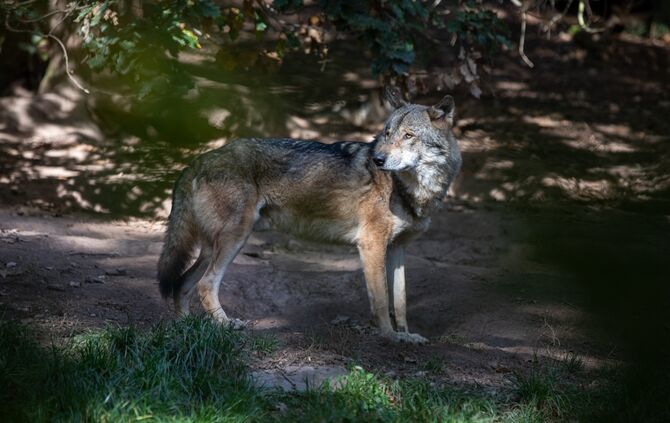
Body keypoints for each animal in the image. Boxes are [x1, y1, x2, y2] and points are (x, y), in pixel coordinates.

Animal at [157, 87, 461, 343]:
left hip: (214, 246)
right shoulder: (371, 244)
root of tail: (197, 161)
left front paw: (407, 336)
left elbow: (400, 301)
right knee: (205, 285)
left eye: (408, 136)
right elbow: (380, 300)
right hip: (235, 238)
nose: (378, 160)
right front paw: (389, 337)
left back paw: (185, 328)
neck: (410, 189)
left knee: (182, 284)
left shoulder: (398, 249)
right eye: (387, 134)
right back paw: (226, 325)